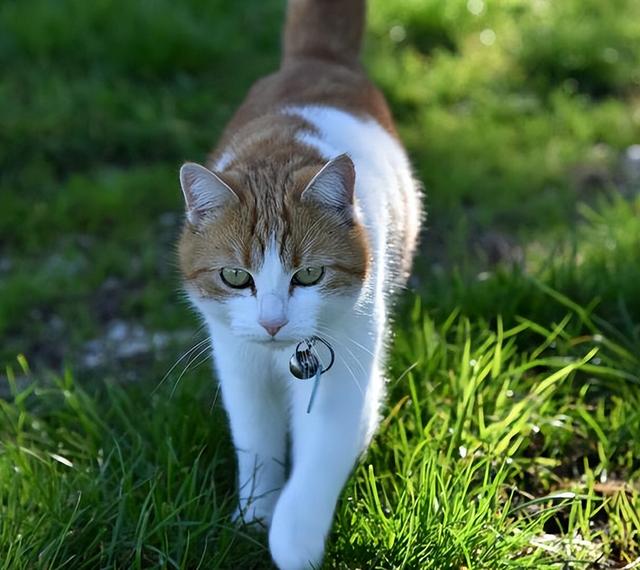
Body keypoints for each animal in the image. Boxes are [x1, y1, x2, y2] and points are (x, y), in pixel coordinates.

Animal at [178, 1, 422, 568]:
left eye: (309, 274)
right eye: (235, 277)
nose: (273, 322)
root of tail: (317, 59)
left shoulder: (344, 381)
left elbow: (316, 469)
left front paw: (292, 544)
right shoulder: (239, 367)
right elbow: (257, 447)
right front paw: (253, 515)